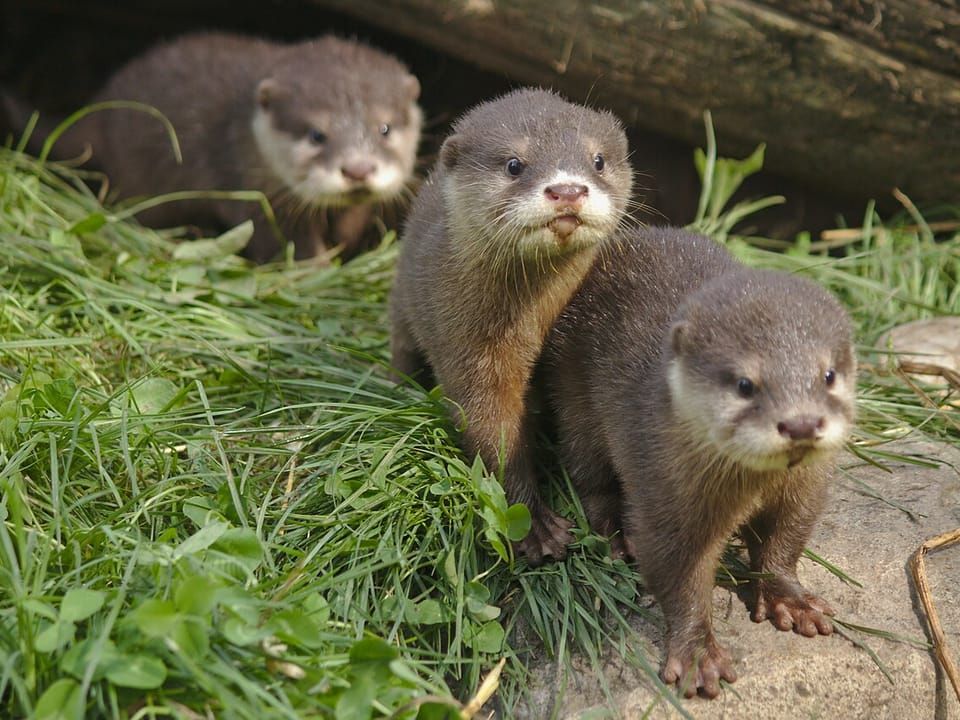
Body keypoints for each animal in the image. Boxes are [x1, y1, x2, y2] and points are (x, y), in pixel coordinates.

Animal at [3, 32, 422, 261]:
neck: (247, 137)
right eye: (317, 134)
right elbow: (287, 244)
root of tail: (100, 109)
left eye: (384, 128)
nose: (358, 169)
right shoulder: (252, 195)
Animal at [389, 88, 633, 565]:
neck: (534, 321)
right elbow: (494, 436)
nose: (567, 189)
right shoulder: (470, 351)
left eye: (597, 159)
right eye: (514, 164)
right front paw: (535, 527)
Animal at [542, 226, 856, 697]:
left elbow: (786, 541)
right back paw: (614, 533)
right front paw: (697, 654)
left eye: (828, 375)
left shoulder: (806, 490)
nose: (801, 423)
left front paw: (791, 599)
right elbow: (677, 574)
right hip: (573, 394)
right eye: (745, 384)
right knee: (587, 473)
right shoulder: (665, 494)